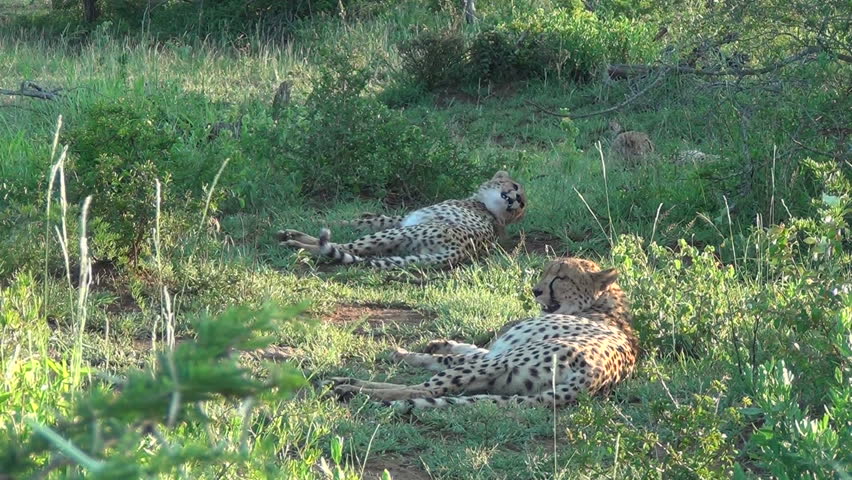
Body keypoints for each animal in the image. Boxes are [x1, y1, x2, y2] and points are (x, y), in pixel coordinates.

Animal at [276, 171, 526, 269]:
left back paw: (295, 242)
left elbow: (357, 224)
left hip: (401, 234)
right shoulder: (400, 219)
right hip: (401, 245)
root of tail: (460, 251)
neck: (487, 208)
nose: (516, 200)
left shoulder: (401, 223)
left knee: (341, 247)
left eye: (521, 202)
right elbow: (363, 220)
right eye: (515, 187)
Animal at [324, 257, 639, 411]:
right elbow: (465, 348)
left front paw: (400, 352)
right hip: (502, 383)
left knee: (424, 389)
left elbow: (447, 359)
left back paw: (348, 388)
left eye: (561, 277)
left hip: (502, 364)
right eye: (545, 271)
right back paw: (344, 384)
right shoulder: (495, 351)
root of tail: (594, 378)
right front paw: (438, 343)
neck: (601, 305)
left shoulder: (498, 353)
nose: (535, 290)